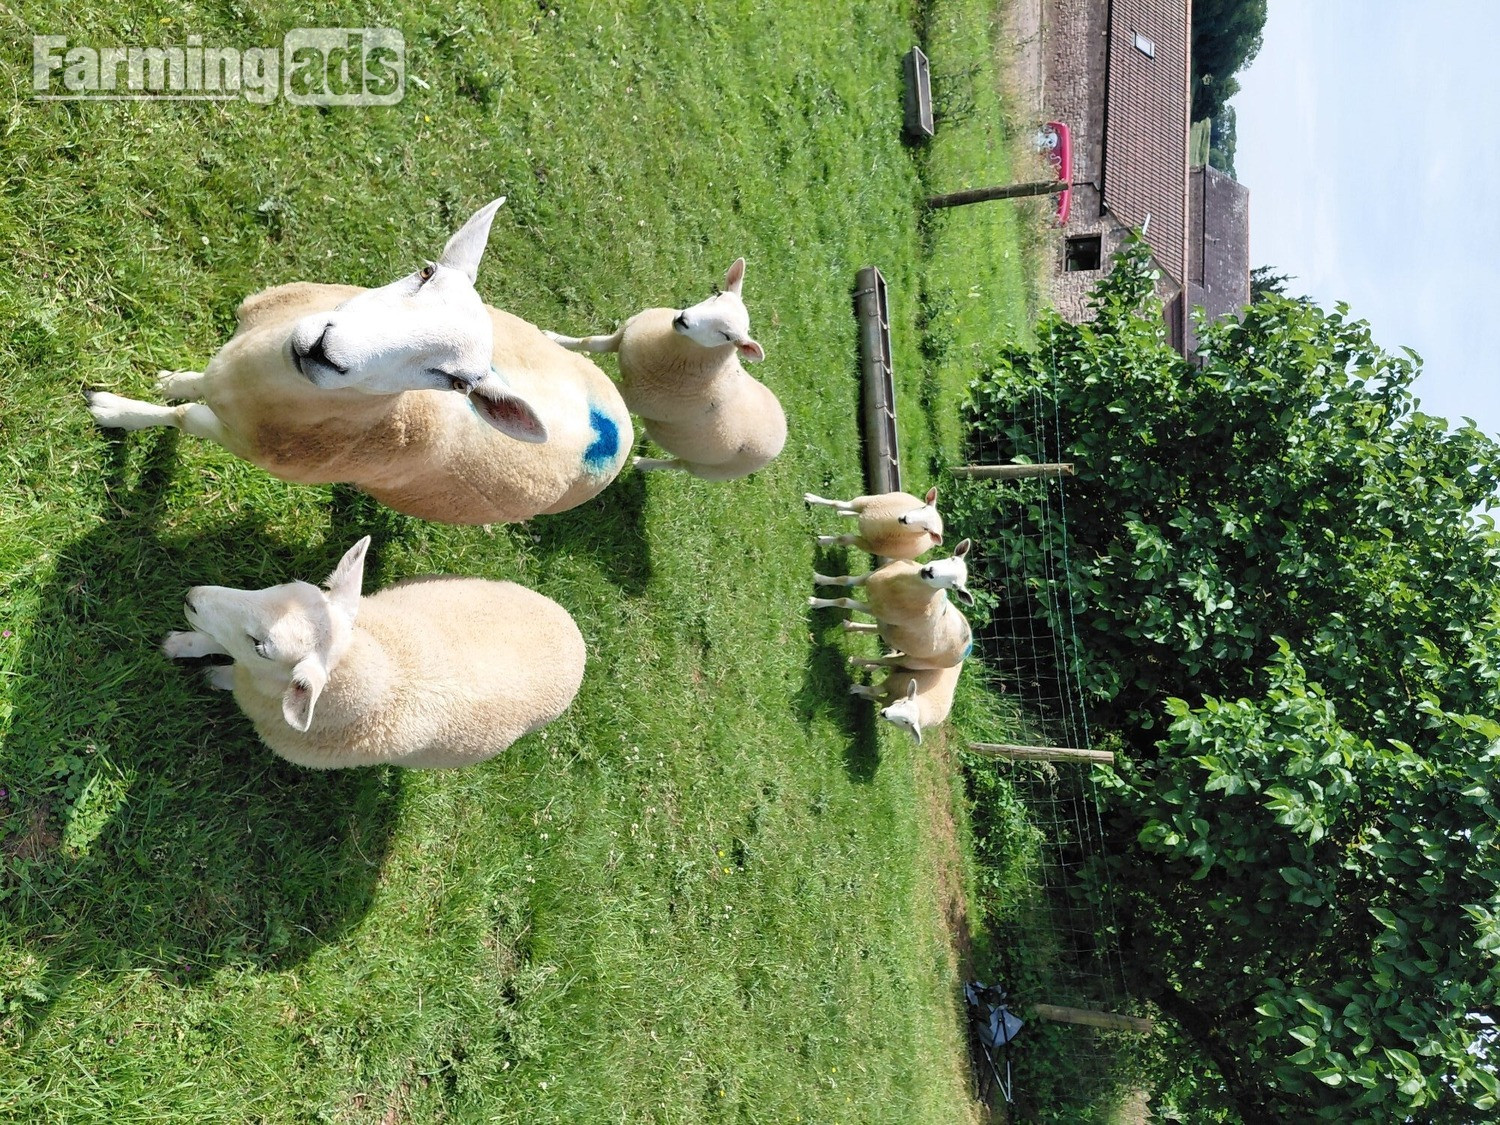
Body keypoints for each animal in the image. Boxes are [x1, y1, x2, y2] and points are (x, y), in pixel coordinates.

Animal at [86, 197, 633, 524]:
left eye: (458, 383)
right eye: (426, 271)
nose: (325, 350)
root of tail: (617, 430)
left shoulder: (235, 438)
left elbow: (180, 417)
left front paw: (114, 411)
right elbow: (191, 385)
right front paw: (172, 380)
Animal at [161, 537, 585, 769]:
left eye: (261, 646)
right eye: (278, 587)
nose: (192, 598)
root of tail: (575, 633)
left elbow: (228, 669)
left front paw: (210, 675)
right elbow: (213, 640)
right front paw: (179, 643)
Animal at [544, 257, 786, 480]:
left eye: (727, 336)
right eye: (717, 294)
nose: (683, 319)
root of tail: (784, 424)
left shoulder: (634, 396)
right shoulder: (625, 334)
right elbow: (590, 343)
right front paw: (554, 338)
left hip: (708, 469)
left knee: (678, 465)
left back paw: (643, 463)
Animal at [803, 486, 944, 560]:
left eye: (926, 529)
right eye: (923, 507)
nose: (904, 519)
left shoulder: (867, 545)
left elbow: (843, 539)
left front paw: (822, 541)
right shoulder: (863, 503)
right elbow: (836, 503)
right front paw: (811, 498)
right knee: (852, 512)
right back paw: (843, 513)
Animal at [810, 539, 974, 670]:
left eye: (954, 586)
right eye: (952, 558)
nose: (930, 572)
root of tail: (969, 644)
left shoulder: (874, 609)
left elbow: (844, 601)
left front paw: (814, 602)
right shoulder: (869, 577)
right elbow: (843, 579)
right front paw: (818, 578)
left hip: (913, 661)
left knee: (886, 661)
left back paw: (856, 661)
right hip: (892, 629)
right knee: (880, 629)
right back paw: (850, 626)